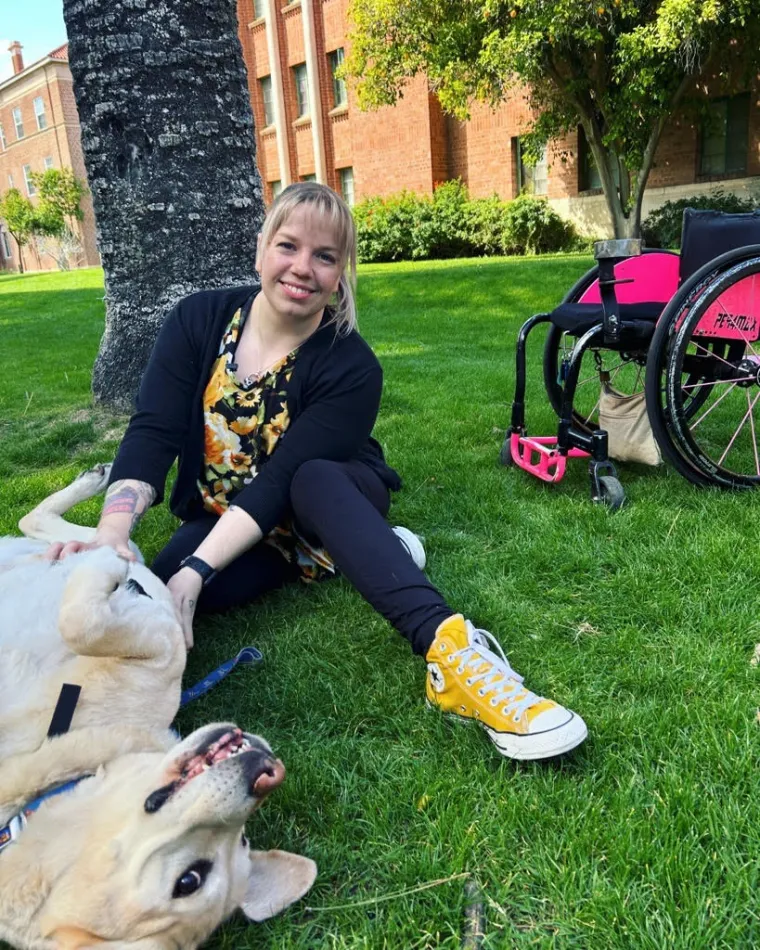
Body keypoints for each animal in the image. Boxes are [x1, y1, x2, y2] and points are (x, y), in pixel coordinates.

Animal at [0, 470, 314, 950]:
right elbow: (86, 612)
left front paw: (109, 569)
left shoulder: (159, 644)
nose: (268, 774)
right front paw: (110, 564)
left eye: (190, 881)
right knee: (60, 531)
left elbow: (84, 621)